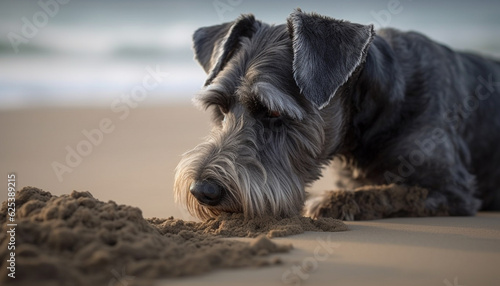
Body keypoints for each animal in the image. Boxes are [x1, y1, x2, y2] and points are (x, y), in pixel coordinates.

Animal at [173, 8, 500, 219]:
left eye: (274, 112)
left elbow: (392, 191)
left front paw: (331, 201)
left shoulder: (453, 189)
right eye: (221, 107)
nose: (203, 190)